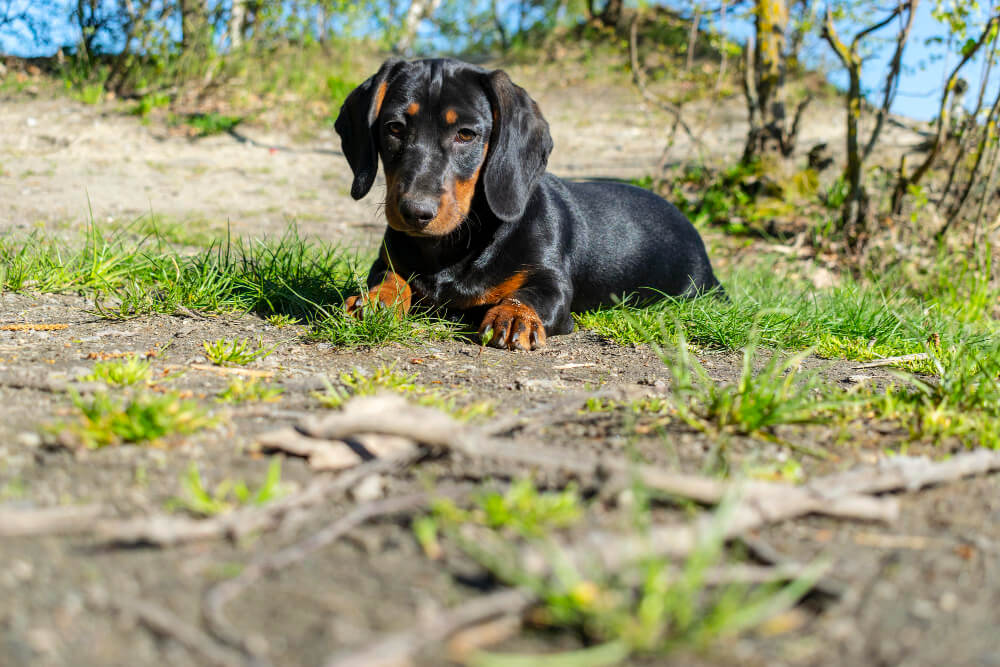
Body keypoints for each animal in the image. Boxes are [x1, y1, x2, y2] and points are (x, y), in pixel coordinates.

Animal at [334, 58, 720, 350]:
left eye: (466, 134)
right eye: (394, 128)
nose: (415, 212)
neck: (452, 246)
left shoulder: (553, 284)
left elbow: (529, 295)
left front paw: (514, 315)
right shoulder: (385, 262)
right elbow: (392, 278)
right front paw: (374, 299)